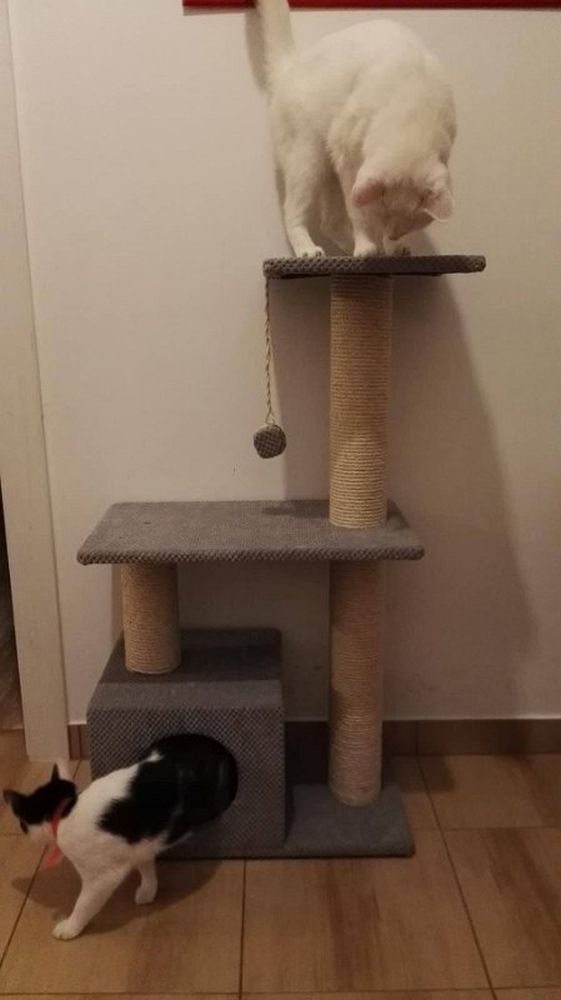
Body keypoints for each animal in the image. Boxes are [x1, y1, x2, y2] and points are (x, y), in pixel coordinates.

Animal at [3, 734, 238, 940]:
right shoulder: (141, 845)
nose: (23, 831)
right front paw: (148, 890)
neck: (67, 810)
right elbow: (146, 867)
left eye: (22, 824)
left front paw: (70, 927)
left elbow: (84, 903)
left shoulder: (102, 877)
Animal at [256, 0, 456, 257]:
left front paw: (390, 247)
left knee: (329, 223)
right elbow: (359, 215)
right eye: (383, 215)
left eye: (411, 222)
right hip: (307, 161)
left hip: (327, 169)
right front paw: (366, 246)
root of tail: (291, 64)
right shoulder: (348, 160)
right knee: (293, 211)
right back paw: (309, 250)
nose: (392, 234)